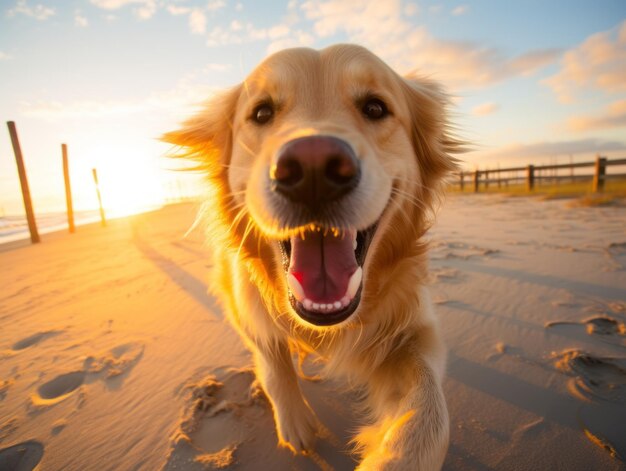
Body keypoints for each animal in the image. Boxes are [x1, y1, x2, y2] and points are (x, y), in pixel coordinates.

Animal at [163, 43, 460, 468]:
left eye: (375, 107)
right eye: (262, 113)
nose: (313, 167)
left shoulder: (414, 328)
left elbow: (430, 413)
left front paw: (392, 457)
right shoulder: (244, 303)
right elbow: (272, 358)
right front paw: (294, 421)